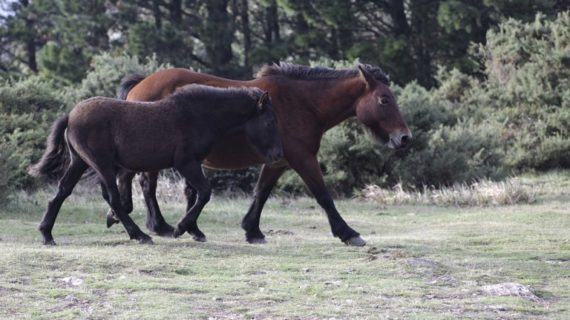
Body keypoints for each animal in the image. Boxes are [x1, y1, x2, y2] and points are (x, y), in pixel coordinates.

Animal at [28, 85, 282, 245]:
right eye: (270, 122)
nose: (277, 155)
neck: (199, 115)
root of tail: (70, 116)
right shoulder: (185, 163)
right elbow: (204, 192)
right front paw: (180, 228)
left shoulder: (193, 164)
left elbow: (195, 193)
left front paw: (191, 230)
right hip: (102, 165)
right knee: (112, 198)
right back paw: (140, 235)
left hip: (80, 162)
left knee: (62, 192)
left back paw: (47, 234)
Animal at [113, 63, 410, 248]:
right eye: (384, 100)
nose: (405, 137)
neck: (301, 103)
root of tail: (140, 84)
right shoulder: (303, 159)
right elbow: (323, 196)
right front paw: (348, 233)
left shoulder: (278, 161)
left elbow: (261, 193)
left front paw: (252, 230)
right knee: (147, 185)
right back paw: (160, 226)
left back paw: (186, 229)